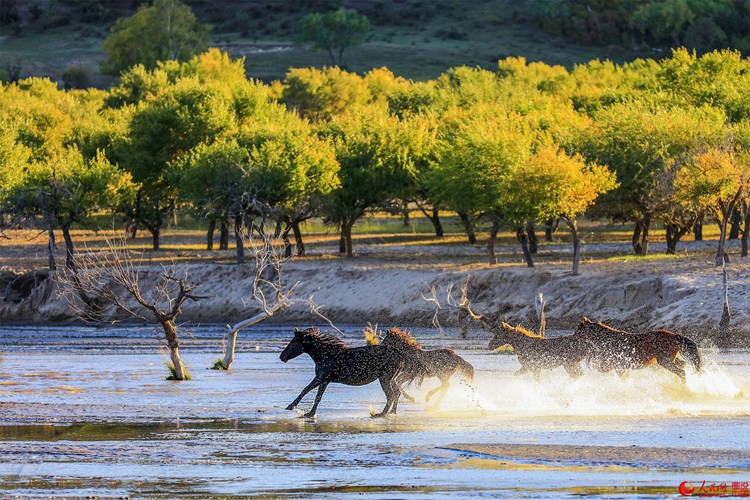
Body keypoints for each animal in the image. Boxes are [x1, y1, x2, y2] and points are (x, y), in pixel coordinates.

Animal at [280, 326, 426, 416]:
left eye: (293, 342)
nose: (282, 356)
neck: (321, 355)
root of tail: (401, 354)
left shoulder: (321, 377)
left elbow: (305, 389)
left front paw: (291, 406)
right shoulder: (325, 380)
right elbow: (318, 397)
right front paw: (310, 413)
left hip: (384, 377)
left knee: (391, 394)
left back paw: (379, 414)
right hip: (390, 377)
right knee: (396, 393)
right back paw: (392, 412)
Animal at [576, 316, 704, 382]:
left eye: (578, 331)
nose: (573, 337)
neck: (607, 340)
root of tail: (674, 335)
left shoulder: (618, 366)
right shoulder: (620, 367)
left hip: (664, 361)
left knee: (681, 372)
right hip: (669, 359)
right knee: (682, 365)